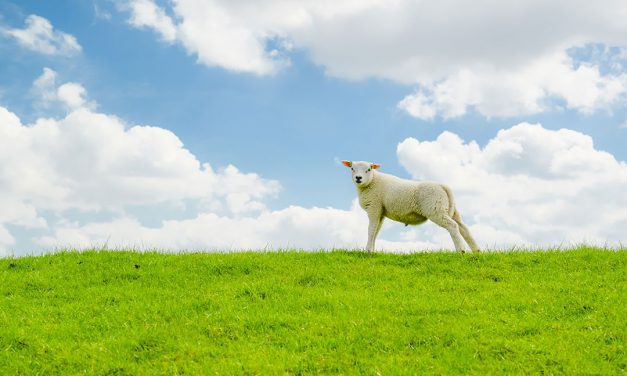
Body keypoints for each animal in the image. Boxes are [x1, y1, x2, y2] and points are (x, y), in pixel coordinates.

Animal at [340, 159, 478, 253]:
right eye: (352, 168)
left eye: (369, 169)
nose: (358, 178)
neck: (372, 182)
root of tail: (442, 186)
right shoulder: (380, 212)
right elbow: (376, 231)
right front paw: (372, 250)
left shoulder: (374, 207)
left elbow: (371, 230)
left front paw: (368, 250)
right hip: (450, 209)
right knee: (464, 228)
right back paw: (476, 251)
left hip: (435, 209)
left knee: (453, 226)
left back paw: (461, 250)